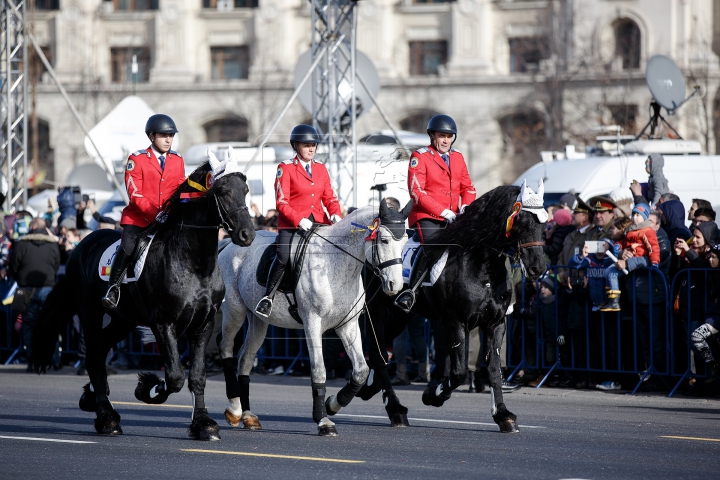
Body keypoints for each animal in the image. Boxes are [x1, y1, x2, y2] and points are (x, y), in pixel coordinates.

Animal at [35, 157, 258, 438]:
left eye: (246, 190)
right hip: (90, 312)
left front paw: (204, 424)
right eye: (222, 191)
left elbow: (197, 376)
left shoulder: (203, 325)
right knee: (94, 356)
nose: (247, 234)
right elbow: (175, 377)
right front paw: (148, 388)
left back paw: (92, 397)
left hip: (123, 320)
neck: (194, 263)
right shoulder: (163, 324)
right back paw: (106, 418)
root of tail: (80, 247)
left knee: (102, 349)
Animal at [330, 182, 544, 434]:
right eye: (523, 220)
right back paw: (395, 408)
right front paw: (432, 395)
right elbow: (459, 372)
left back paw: (370, 387)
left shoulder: (496, 323)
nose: (538, 267)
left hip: (401, 315)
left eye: (543, 223)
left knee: (381, 349)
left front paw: (503, 415)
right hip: (377, 311)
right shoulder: (456, 322)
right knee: (378, 351)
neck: (482, 267)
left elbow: (493, 370)